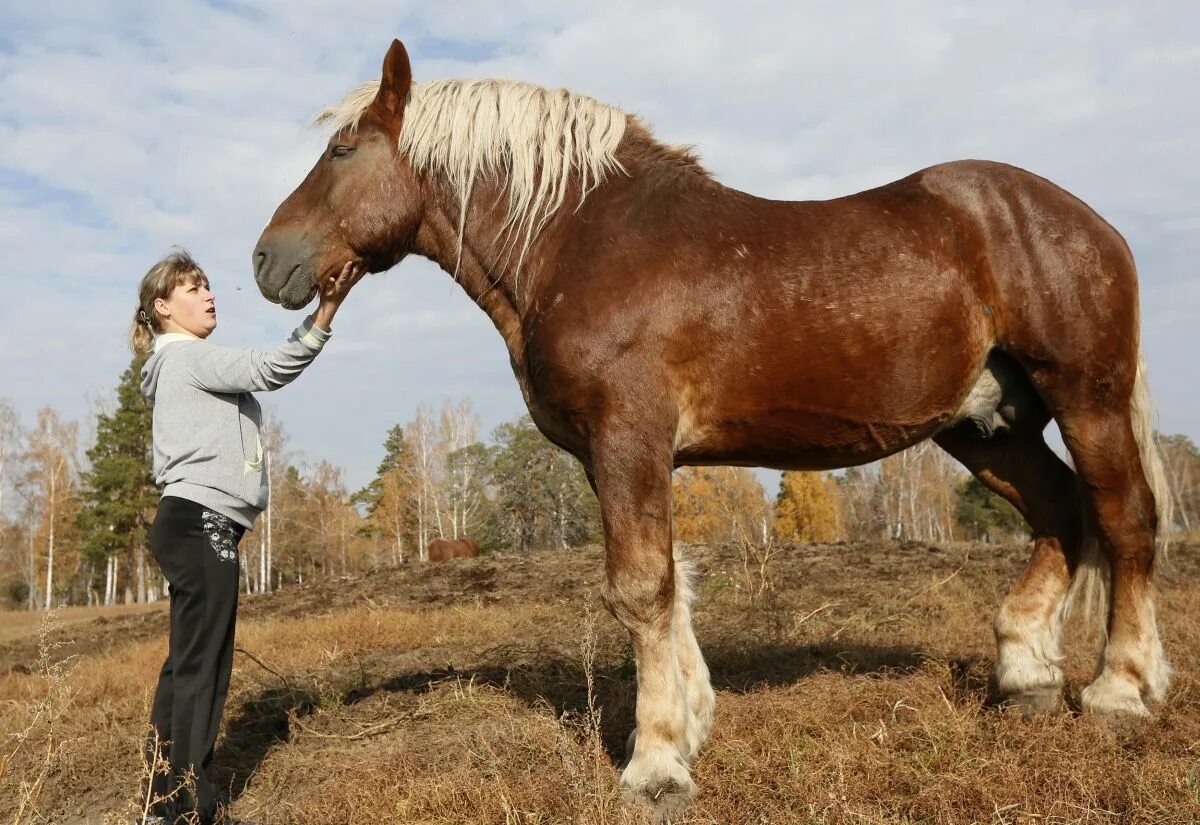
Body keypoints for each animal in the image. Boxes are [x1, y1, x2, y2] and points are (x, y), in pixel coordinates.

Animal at [255, 37, 1171, 810]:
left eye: (342, 151)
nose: (267, 260)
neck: (579, 240)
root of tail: (1092, 224)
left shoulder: (629, 437)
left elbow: (641, 587)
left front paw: (654, 764)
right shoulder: (621, 453)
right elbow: (671, 583)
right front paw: (690, 726)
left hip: (1084, 397)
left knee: (1124, 518)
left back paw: (1120, 690)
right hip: (987, 425)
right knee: (1059, 512)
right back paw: (1026, 677)